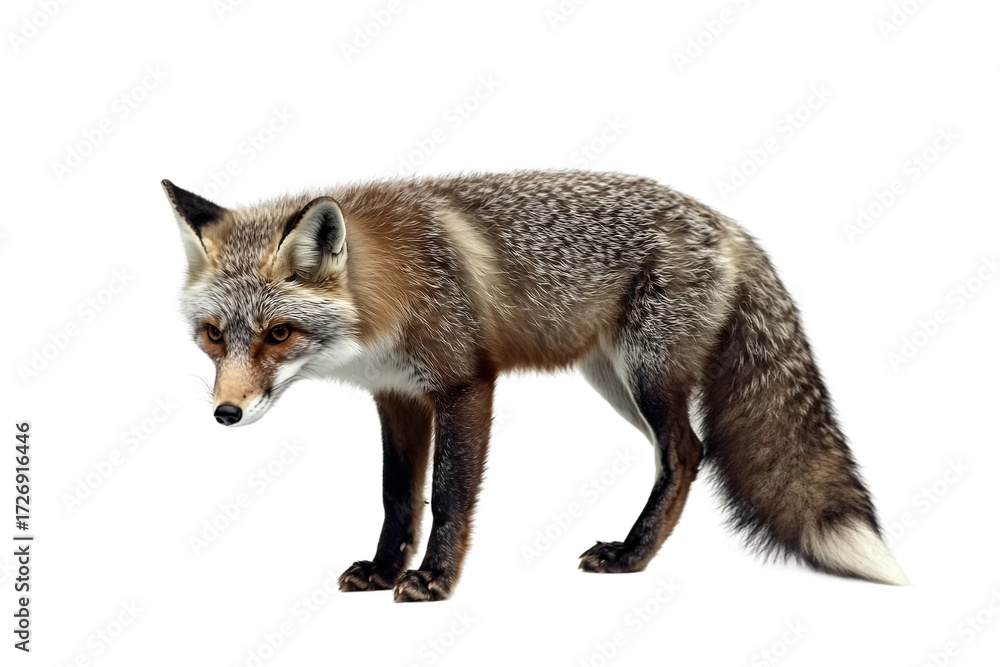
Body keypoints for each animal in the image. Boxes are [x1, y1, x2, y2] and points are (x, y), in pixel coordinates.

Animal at [163, 170, 909, 602]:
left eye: (278, 333)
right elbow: (398, 498)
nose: (226, 412)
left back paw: (632, 556)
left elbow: (449, 496)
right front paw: (382, 570)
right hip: (615, 381)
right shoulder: (396, 397)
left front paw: (433, 579)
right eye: (213, 335)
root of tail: (731, 228)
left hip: (647, 374)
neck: (392, 292)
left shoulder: (464, 384)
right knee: (681, 452)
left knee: (687, 451)